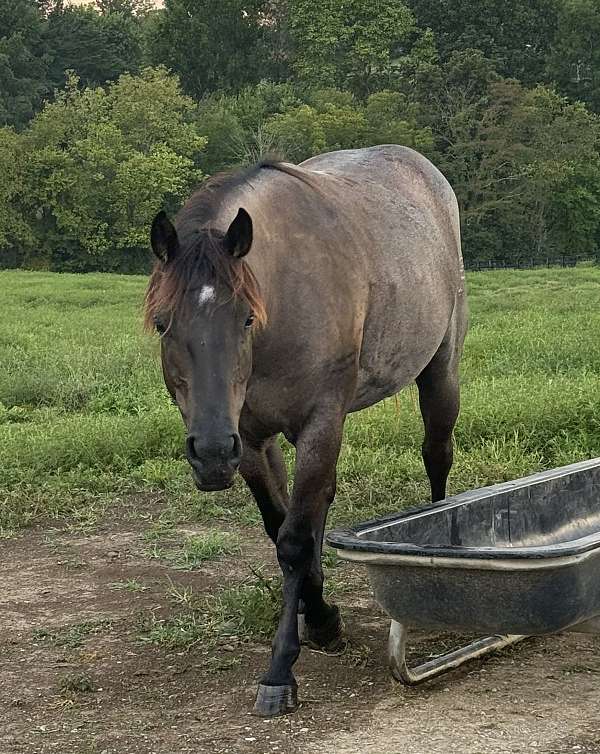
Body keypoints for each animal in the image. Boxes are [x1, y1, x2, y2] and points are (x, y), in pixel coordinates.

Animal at [144, 144, 468, 712]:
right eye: (164, 324)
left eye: (246, 320)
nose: (211, 454)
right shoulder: (251, 438)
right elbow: (282, 525)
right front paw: (318, 617)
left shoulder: (321, 420)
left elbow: (294, 538)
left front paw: (283, 666)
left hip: (440, 370)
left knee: (436, 454)